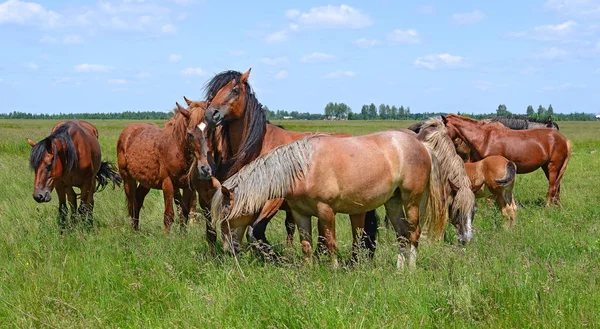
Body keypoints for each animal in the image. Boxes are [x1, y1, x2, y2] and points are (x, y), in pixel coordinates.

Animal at [116, 102, 212, 231]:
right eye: (190, 134)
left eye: (209, 131)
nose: (204, 167)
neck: (176, 149)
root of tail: (126, 132)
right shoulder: (168, 184)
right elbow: (168, 215)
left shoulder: (187, 187)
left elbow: (184, 213)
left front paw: (183, 235)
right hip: (128, 179)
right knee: (132, 204)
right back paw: (134, 231)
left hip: (146, 182)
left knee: (138, 200)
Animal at [204, 69, 378, 258]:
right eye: (213, 93)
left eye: (235, 90)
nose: (211, 114)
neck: (261, 146)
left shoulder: (274, 199)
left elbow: (255, 230)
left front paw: (273, 257)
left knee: (358, 231)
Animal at [209, 131, 448, 270]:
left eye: (227, 217)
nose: (229, 249)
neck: (303, 168)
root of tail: (422, 145)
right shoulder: (300, 214)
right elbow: (306, 245)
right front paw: (308, 270)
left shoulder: (326, 211)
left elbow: (330, 242)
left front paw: (333, 269)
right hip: (393, 202)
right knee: (402, 235)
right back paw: (398, 270)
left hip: (412, 201)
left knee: (414, 234)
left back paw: (410, 269)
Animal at [440, 113, 572, 205]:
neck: (485, 138)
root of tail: (564, 140)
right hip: (547, 167)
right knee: (556, 187)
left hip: (553, 167)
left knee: (553, 187)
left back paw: (547, 207)